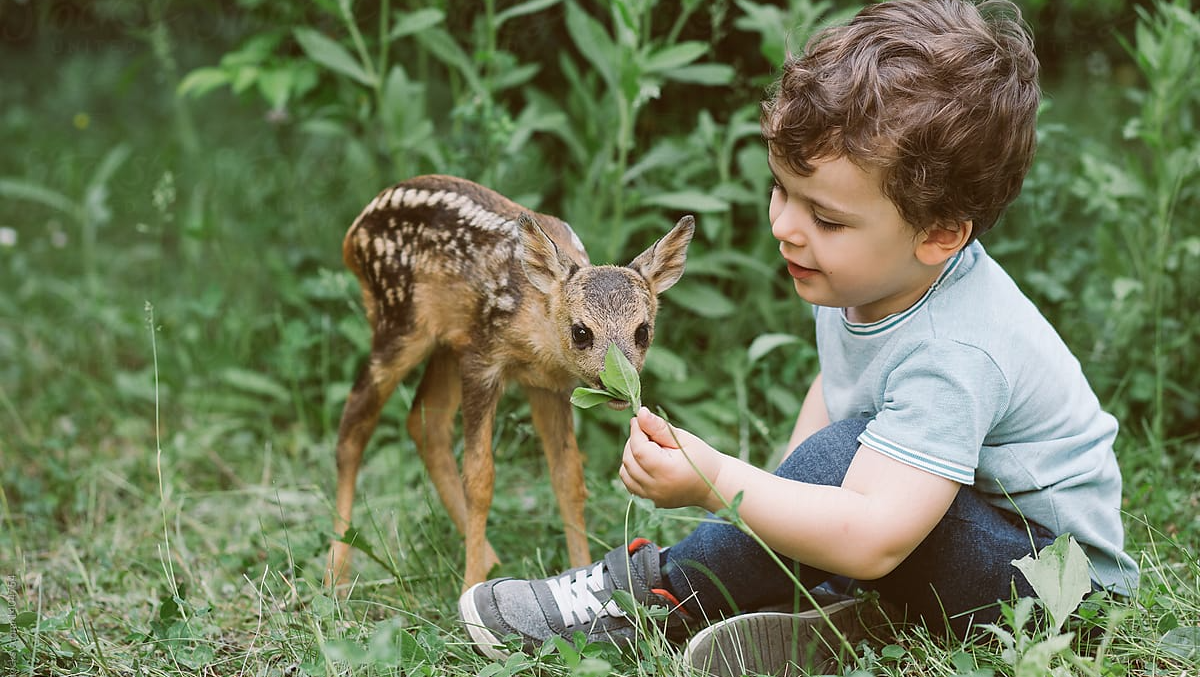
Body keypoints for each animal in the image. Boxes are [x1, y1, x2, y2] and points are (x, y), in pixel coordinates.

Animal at [326, 174, 695, 590]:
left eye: (643, 331)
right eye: (581, 332)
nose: (617, 388)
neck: (535, 329)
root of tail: (353, 233)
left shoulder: (550, 385)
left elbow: (568, 477)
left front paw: (581, 569)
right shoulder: (482, 362)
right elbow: (480, 478)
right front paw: (467, 591)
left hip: (446, 342)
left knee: (424, 422)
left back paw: (490, 559)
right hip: (400, 322)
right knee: (355, 423)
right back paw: (336, 573)